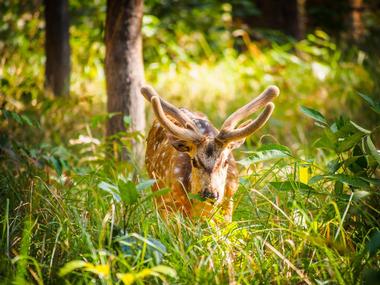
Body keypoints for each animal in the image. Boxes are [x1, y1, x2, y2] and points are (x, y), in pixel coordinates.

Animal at [142, 83, 280, 221]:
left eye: (225, 161)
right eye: (194, 161)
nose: (210, 194)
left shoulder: (230, 199)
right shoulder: (175, 201)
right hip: (155, 187)